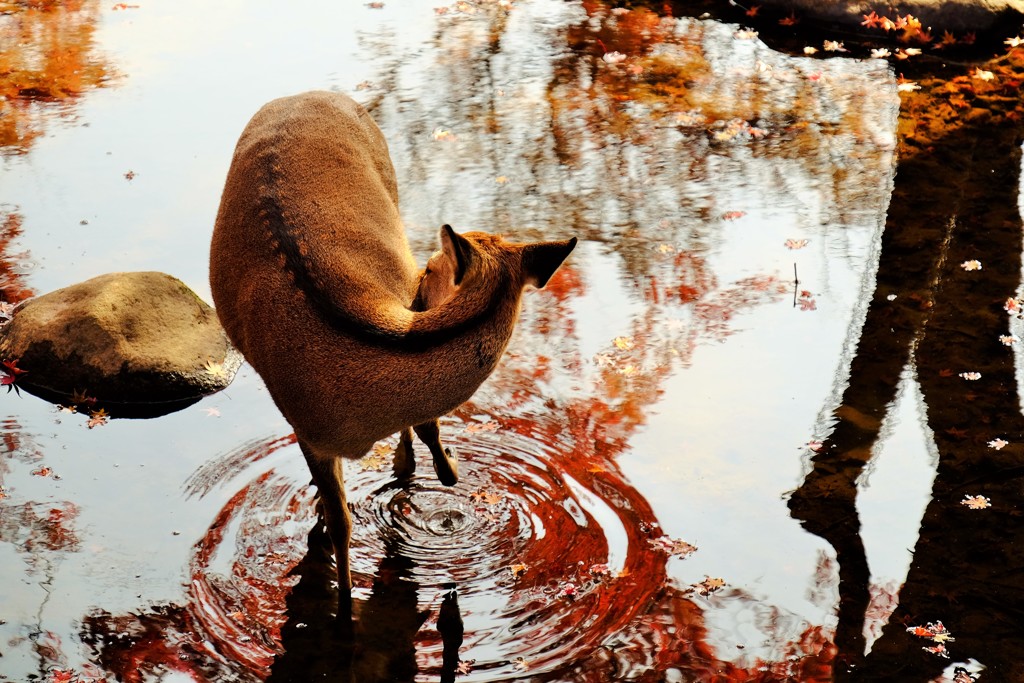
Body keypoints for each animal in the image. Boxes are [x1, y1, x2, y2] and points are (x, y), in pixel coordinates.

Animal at [207, 88, 577, 618]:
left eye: (432, 265)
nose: (418, 288)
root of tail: (306, 93)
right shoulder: (304, 426)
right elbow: (341, 521)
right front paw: (345, 603)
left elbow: (423, 442)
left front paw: (436, 471)